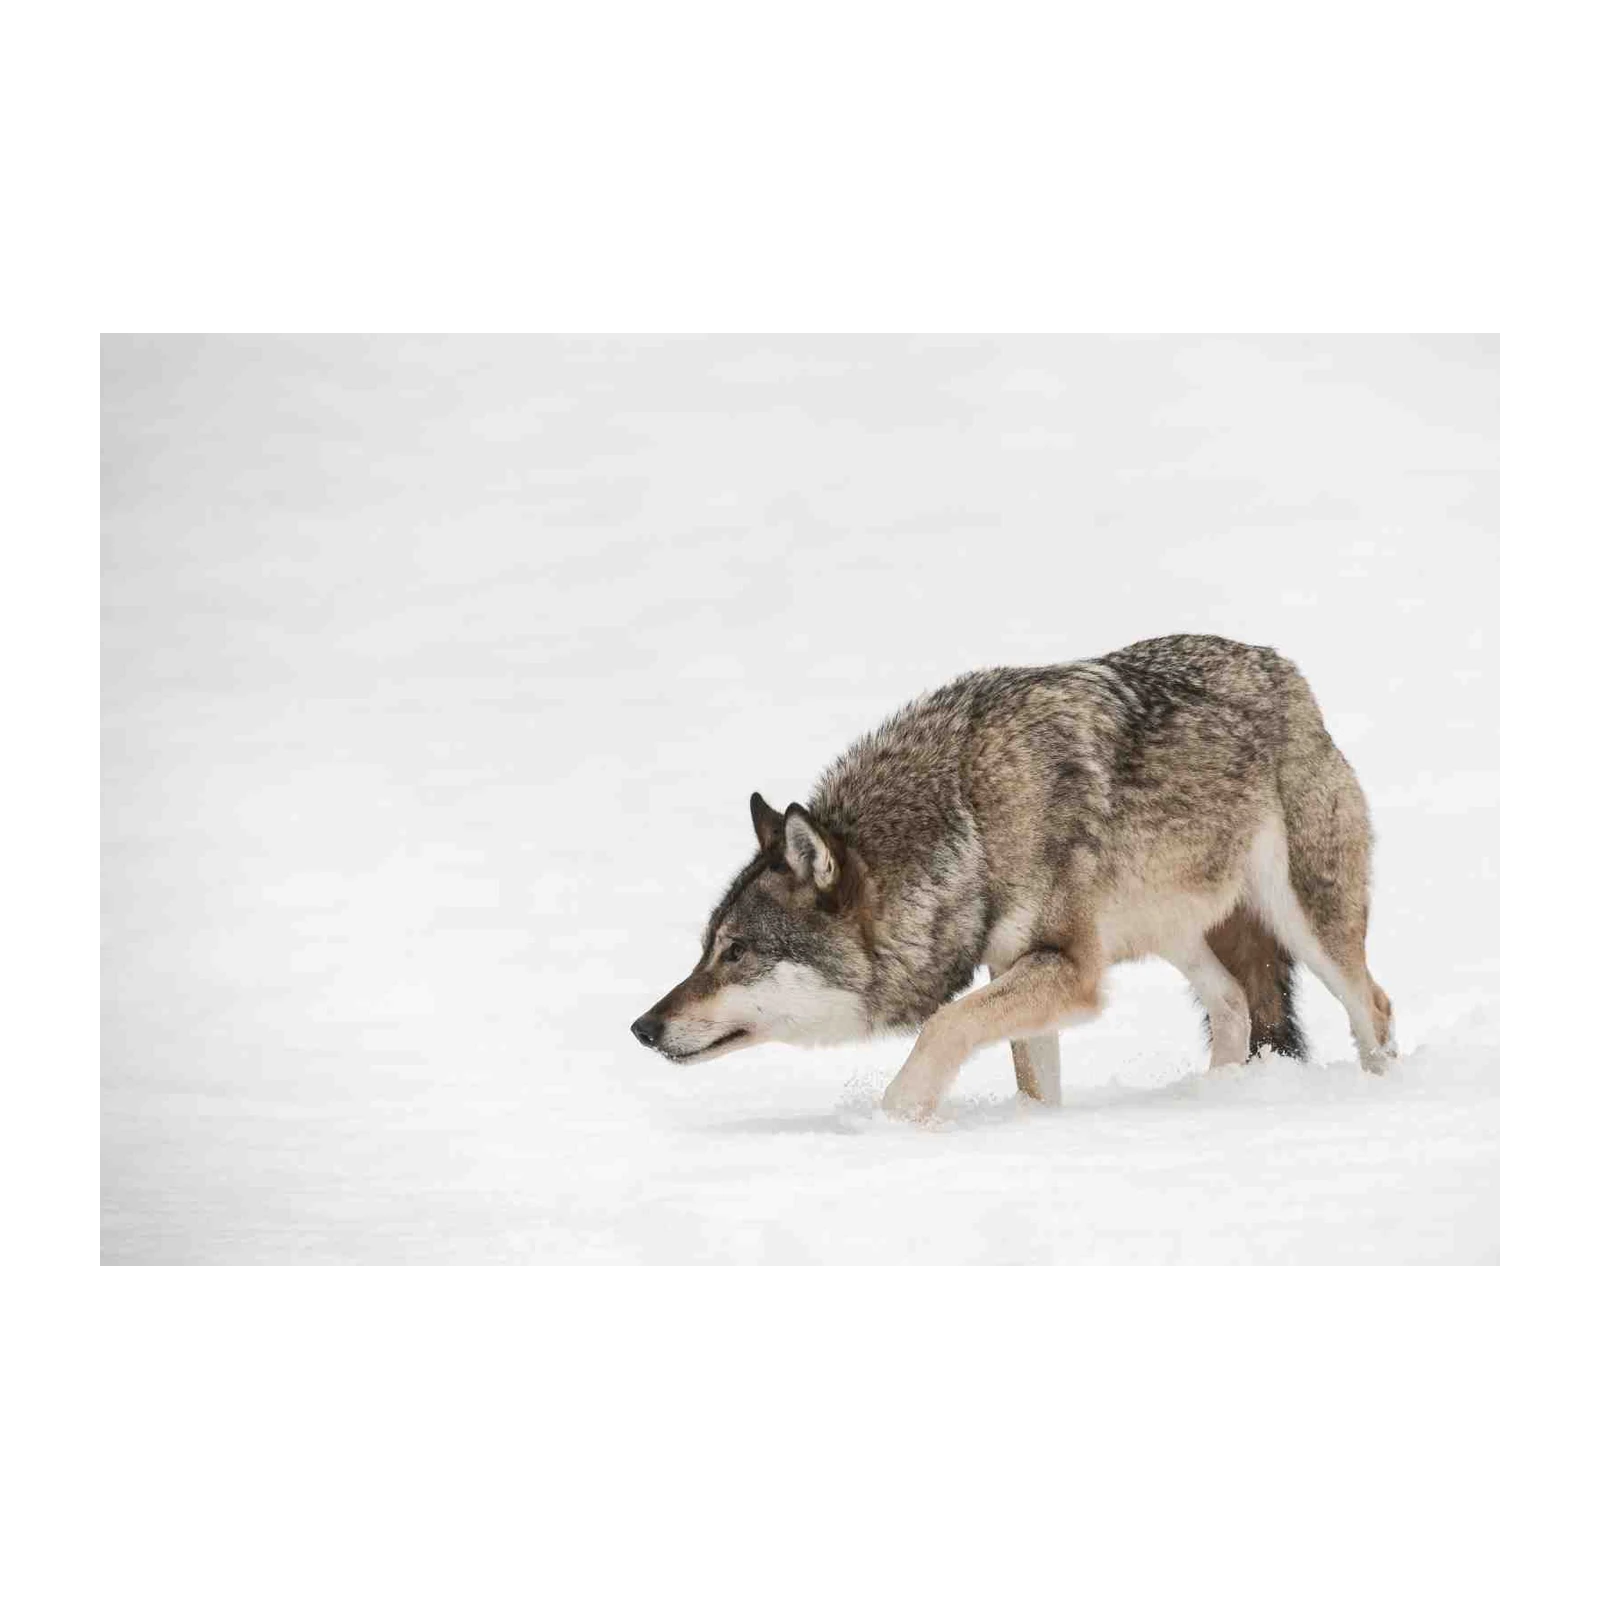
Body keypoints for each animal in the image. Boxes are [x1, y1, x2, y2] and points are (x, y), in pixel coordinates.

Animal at [630, 635, 1394, 1119]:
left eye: (737, 953)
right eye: (707, 950)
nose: (642, 1027)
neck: (970, 823)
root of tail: (1284, 671)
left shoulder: (1067, 969)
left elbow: (944, 1025)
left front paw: (894, 1121)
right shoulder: (1017, 965)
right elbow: (1028, 1079)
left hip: (1308, 923)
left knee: (1374, 1006)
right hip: (1173, 932)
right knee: (1235, 1002)